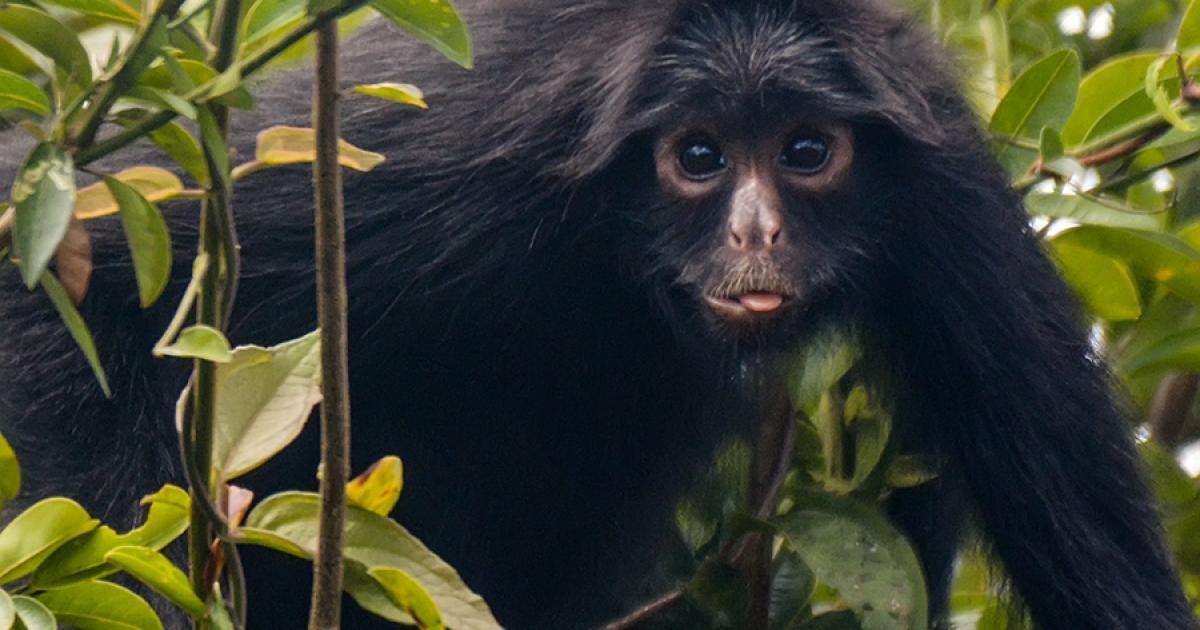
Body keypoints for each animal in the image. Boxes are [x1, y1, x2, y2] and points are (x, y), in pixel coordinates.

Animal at [2, 0, 1200, 624]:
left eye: (807, 152)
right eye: (699, 158)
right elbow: (63, 268)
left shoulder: (949, 195)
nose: (756, 234)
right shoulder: (467, 154)